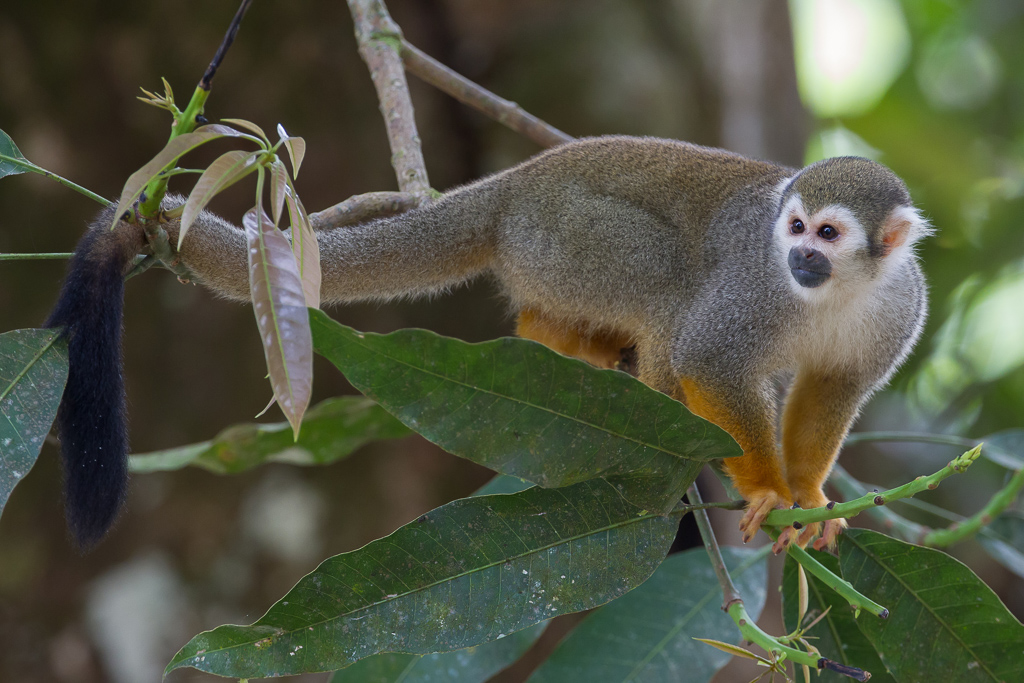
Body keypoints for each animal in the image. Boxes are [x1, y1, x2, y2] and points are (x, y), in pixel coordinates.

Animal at [46, 136, 929, 548]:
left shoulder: (900, 308)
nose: (800, 255)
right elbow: (709, 354)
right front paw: (771, 491)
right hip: (564, 234)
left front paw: (810, 496)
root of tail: (514, 186)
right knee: (669, 293)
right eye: (793, 228)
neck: (834, 292)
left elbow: (836, 389)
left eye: (828, 233)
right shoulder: (752, 285)